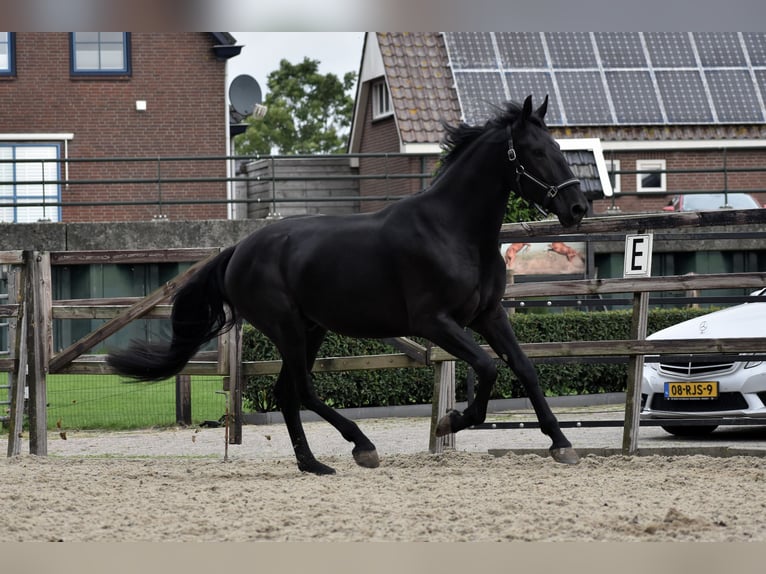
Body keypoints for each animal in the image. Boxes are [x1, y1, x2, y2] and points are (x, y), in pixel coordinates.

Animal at [106, 97, 588, 476]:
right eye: (534, 151)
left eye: (558, 148)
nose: (578, 207)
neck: (452, 230)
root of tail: (238, 249)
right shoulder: (434, 323)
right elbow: (488, 368)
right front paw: (450, 421)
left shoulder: (488, 315)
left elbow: (524, 368)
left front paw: (562, 444)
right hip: (287, 328)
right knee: (301, 390)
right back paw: (361, 446)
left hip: (311, 329)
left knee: (286, 393)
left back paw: (313, 464)